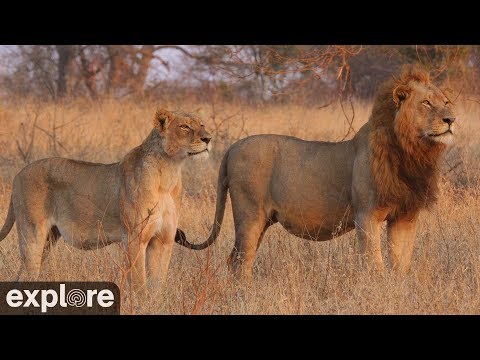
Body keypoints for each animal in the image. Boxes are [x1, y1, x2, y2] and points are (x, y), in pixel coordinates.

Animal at [0, 108, 210, 292]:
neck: (169, 171)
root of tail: (19, 174)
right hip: (32, 234)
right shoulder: (134, 238)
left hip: (49, 238)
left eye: (202, 124)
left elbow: (157, 286)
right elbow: (139, 285)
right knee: (27, 273)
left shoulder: (163, 240)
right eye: (184, 126)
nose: (208, 138)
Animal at [177, 64, 458, 278]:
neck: (412, 151)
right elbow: (373, 262)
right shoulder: (367, 214)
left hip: (262, 219)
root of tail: (232, 147)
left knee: (234, 258)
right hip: (250, 214)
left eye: (446, 102)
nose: (451, 120)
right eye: (426, 103)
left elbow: (401, 263)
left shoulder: (405, 216)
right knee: (241, 261)